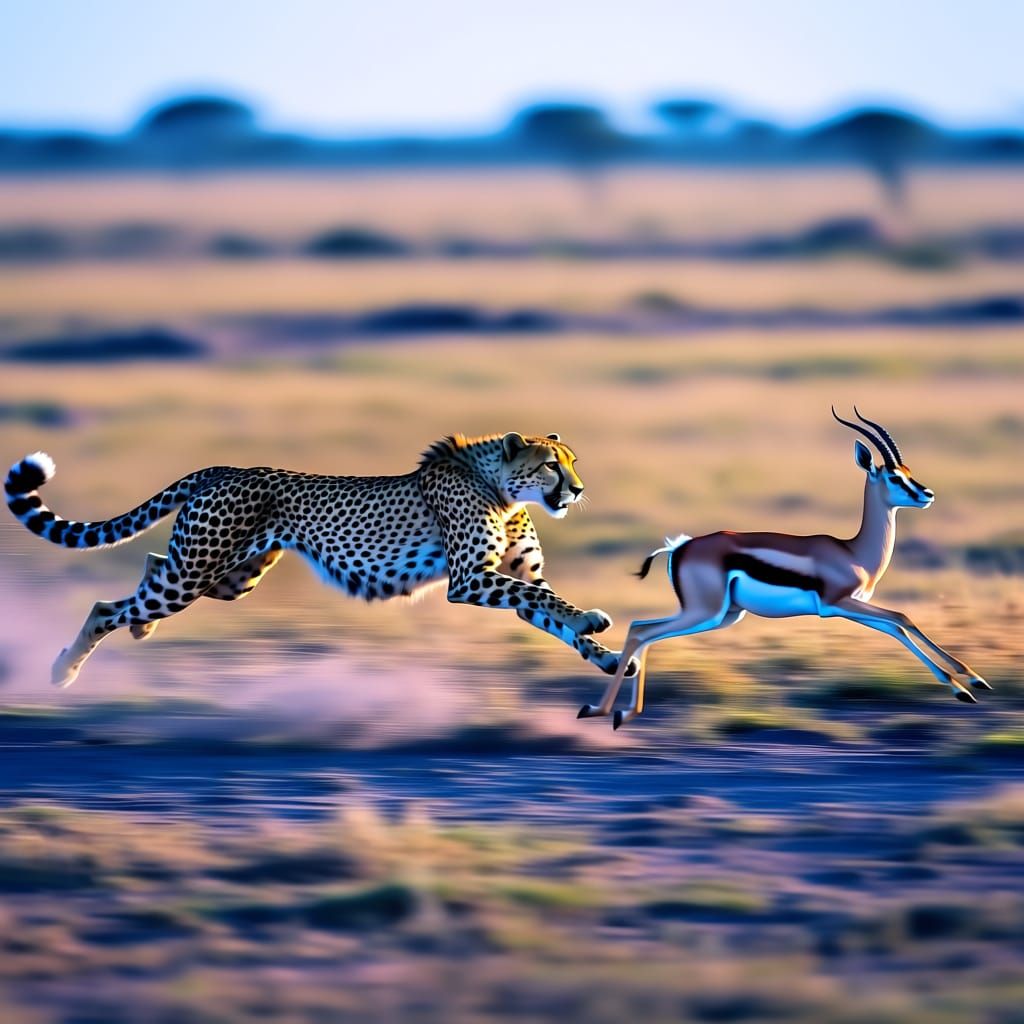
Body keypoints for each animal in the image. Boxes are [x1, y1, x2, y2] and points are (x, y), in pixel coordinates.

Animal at [5, 432, 637, 689]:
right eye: (552, 465)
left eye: (573, 461)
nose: (579, 490)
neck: (502, 490)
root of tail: (226, 467)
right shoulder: (470, 580)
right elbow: (546, 598)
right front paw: (593, 622)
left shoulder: (504, 577)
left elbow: (549, 609)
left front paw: (610, 660)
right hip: (199, 572)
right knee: (107, 604)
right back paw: (64, 670)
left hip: (229, 576)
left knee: (151, 566)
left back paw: (139, 630)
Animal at [579, 408, 990, 729]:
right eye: (893, 476)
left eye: (908, 470)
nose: (927, 494)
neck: (852, 551)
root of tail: (680, 546)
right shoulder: (839, 603)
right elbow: (902, 618)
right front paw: (968, 684)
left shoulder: (849, 607)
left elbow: (897, 627)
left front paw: (970, 684)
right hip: (705, 612)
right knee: (640, 630)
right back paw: (599, 710)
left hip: (722, 616)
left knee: (643, 630)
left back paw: (621, 713)